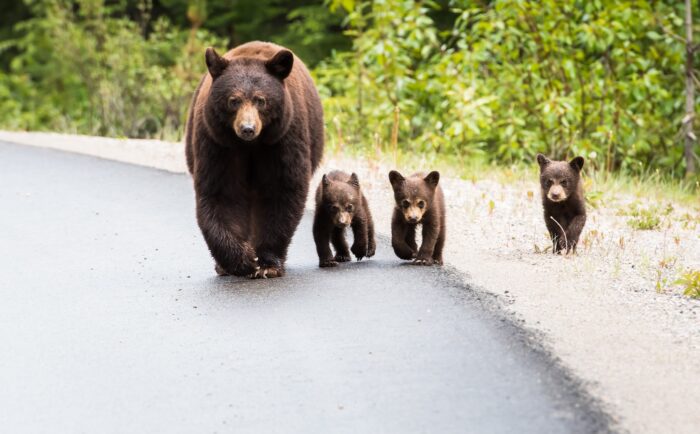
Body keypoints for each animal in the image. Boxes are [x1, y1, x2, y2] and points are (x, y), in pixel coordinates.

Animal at [187, 41, 326, 278]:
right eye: (233, 100)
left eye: (261, 100)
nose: (248, 128)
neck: (250, 146)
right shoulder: (218, 143)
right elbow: (221, 193)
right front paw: (242, 259)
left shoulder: (282, 139)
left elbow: (281, 190)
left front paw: (268, 264)